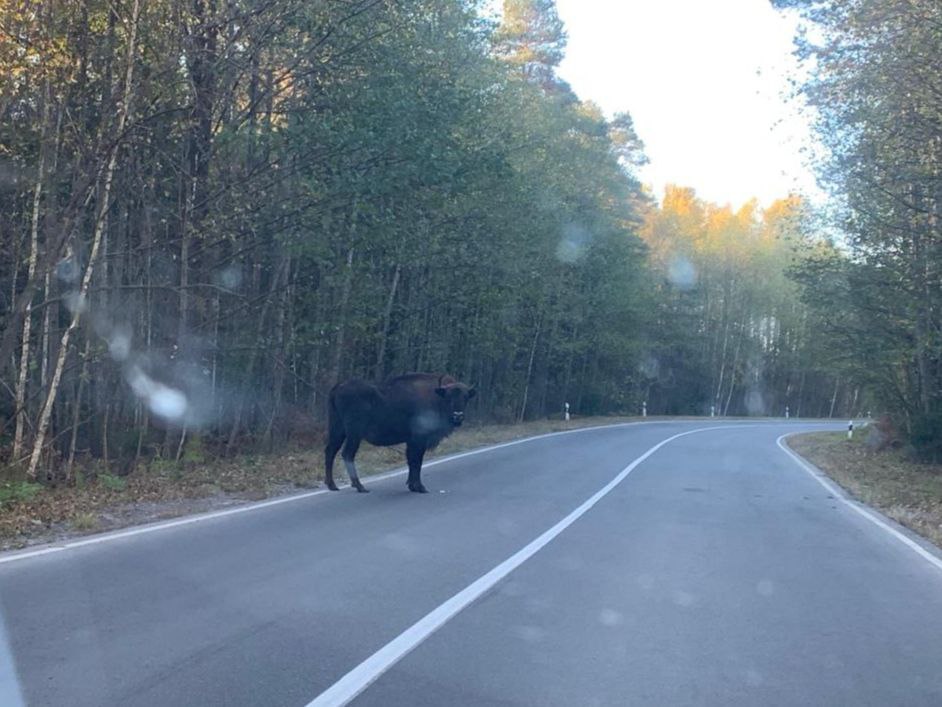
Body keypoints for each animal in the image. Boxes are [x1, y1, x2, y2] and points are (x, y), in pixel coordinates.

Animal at [324, 374, 476, 496]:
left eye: (466, 397)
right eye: (448, 397)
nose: (458, 416)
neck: (436, 396)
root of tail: (338, 387)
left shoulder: (412, 442)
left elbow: (412, 461)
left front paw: (412, 485)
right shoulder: (419, 440)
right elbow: (416, 461)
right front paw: (420, 487)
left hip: (338, 430)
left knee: (330, 451)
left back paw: (332, 485)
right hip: (354, 434)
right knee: (347, 454)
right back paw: (360, 487)